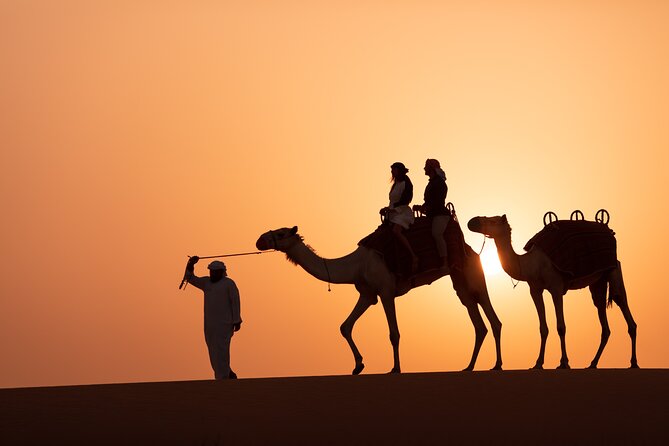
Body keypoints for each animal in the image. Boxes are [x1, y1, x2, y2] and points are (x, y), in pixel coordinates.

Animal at [256, 224, 502, 374]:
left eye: (281, 233)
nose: (259, 240)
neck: (356, 265)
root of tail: (473, 251)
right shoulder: (367, 294)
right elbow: (345, 326)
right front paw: (358, 365)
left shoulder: (386, 291)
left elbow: (394, 333)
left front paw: (395, 368)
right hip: (460, 281)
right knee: (478, 321)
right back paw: (469, 366)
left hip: (473, 275)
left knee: (493, 318)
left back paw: (497, 365)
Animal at [467, 214, 638, 369]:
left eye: (492, 221)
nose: (472, 222)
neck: (531, 264)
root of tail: (610, 232)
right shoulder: (535, 290)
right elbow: (543, 328)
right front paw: (538, 363)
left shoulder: (556, 287)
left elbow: (561, 327)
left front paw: (564, 363)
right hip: (598, 280)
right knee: (601, 311)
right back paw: (593, 363)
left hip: (613, 268)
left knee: (621, 300)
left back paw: (634, 362)